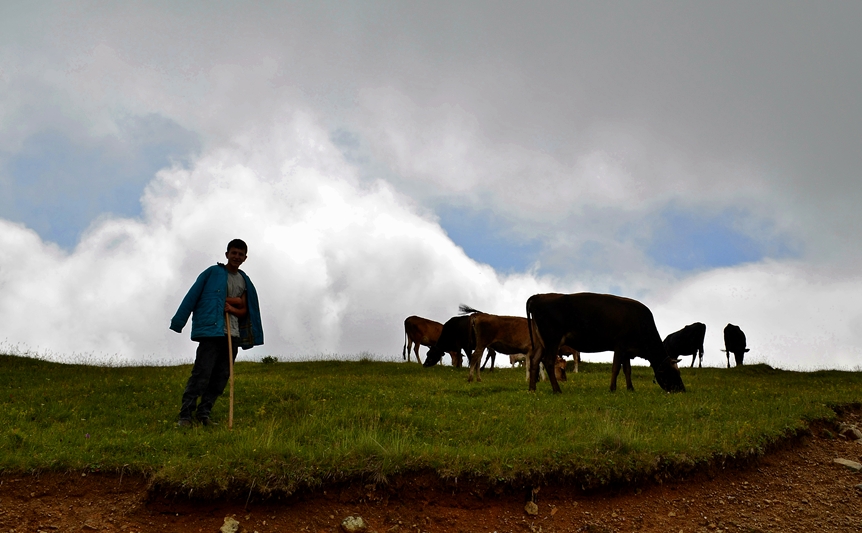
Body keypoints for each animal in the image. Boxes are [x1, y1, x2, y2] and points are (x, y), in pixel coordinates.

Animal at [524, 290, 684, 390]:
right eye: (674, 373)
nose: (682, 389)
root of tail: (538, 296)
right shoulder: (620, 345)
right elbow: (616, 368)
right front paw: (612, 388)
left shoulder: (627, 350)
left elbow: (627, 370)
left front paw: (630, 389)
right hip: (552, 339)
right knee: (548, 361)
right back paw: (557, 390)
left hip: (542, 342)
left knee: (535, 360)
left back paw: (532, 389)